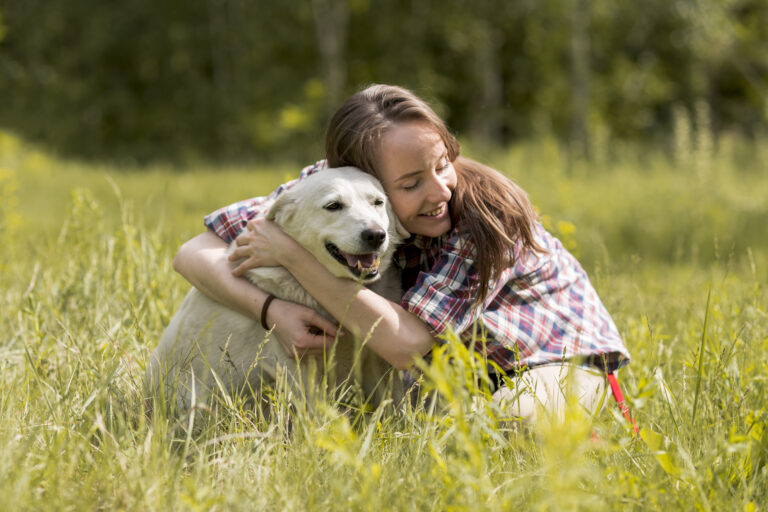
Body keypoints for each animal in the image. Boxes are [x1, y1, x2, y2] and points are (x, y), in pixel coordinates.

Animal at [145, 168, 408, 416]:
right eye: (333, 206)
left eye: (378, 202)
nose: (375, 235)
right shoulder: (300, 366)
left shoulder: (377, 363)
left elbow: (393, 407)